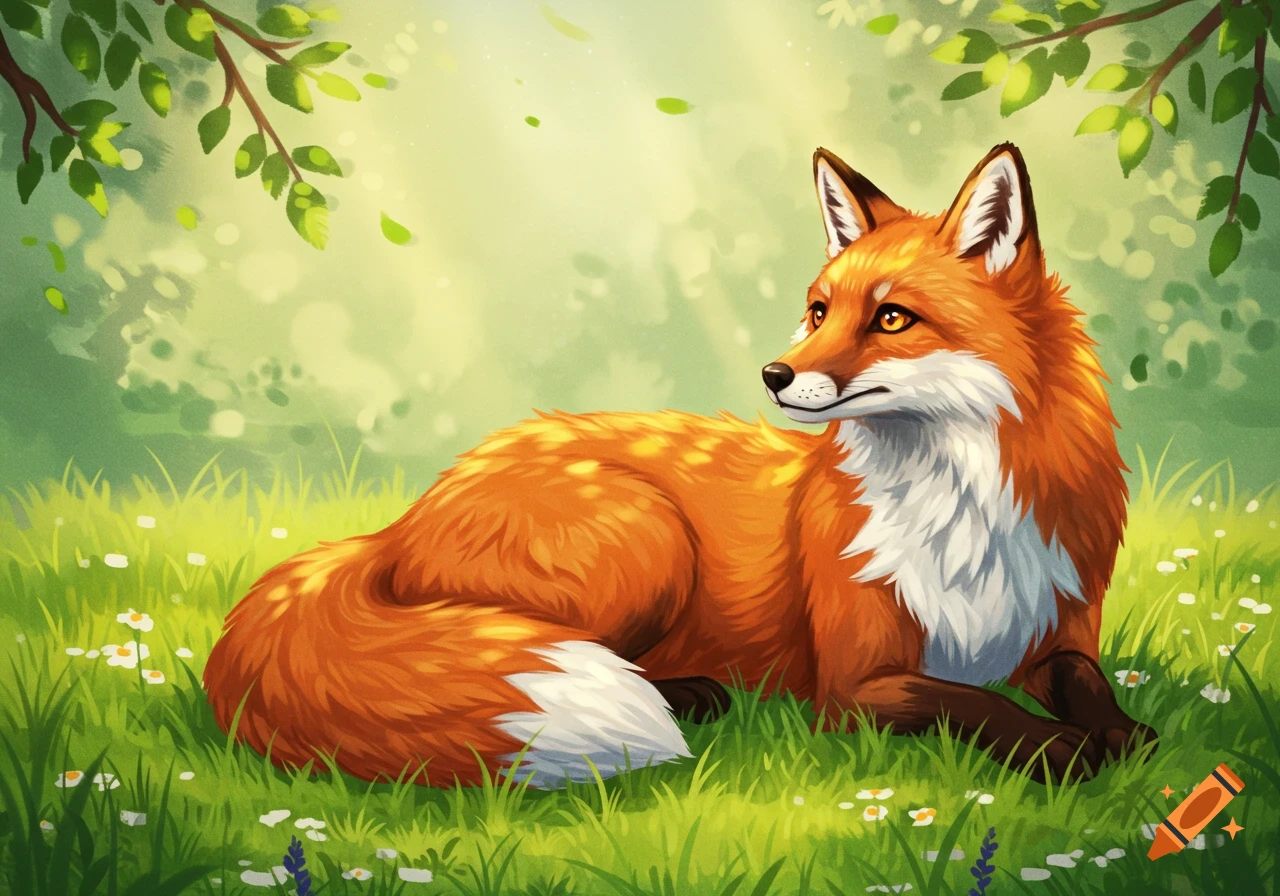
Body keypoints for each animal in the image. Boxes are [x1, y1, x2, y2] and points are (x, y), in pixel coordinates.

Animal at [203, 142, 1157, 789]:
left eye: (892, 318)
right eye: (819, 310)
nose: (775, 374)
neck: (961, 513)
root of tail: (395, 525)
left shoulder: (1056, 625)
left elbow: (1080, 681)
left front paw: (1124, 735)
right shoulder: (856, 686)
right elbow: (971, 706)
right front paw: (1061, 751)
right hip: (648, 539)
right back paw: (689, 697)